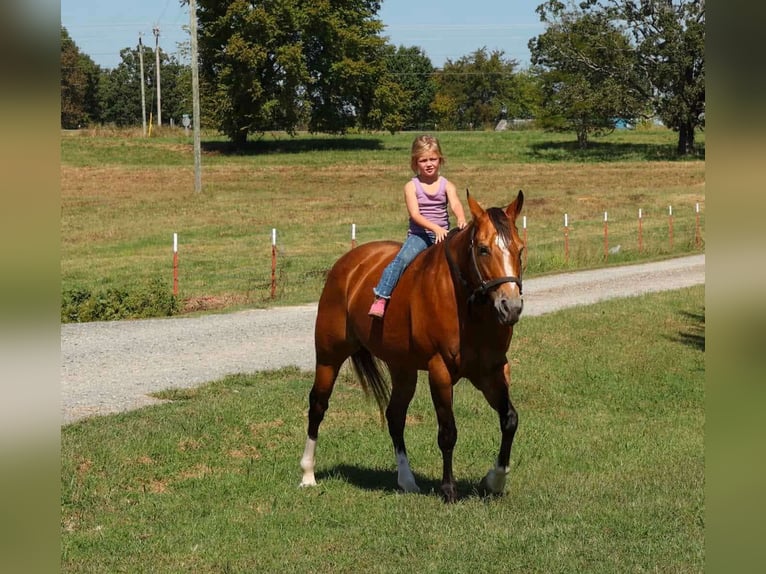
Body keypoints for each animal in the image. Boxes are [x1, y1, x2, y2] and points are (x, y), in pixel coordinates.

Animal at [300, 190, 525, 502]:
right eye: (483, 249)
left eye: (520, 249)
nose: (510, 307)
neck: (467, 307)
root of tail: (348, 263)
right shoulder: (440, 370)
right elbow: (448, 431)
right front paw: (448, 489)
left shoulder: (491, 370)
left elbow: (509, 419)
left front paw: (495, 480)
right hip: (328, 358)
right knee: (318, 406)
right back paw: (308, 474)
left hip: (402, 369)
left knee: (395, 415)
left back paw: (406, 480)